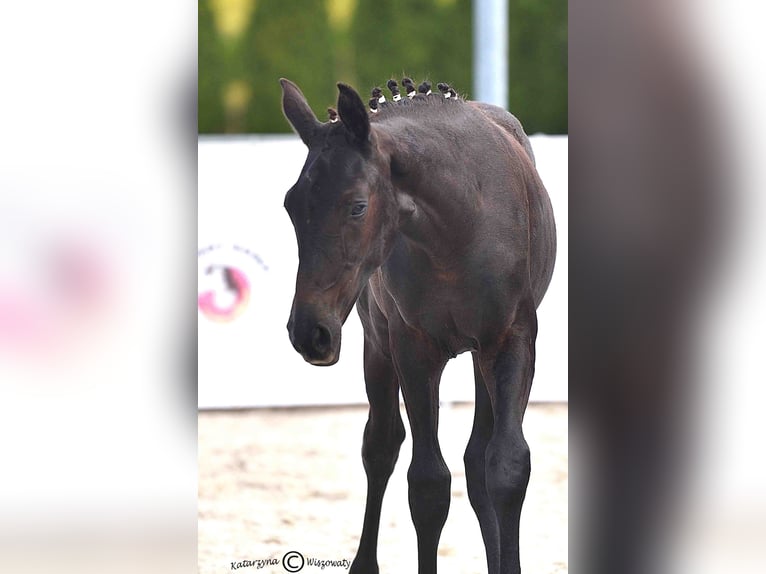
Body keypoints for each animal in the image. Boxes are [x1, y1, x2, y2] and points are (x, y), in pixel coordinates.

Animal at [279, 77, 556, 574]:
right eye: (291, 206)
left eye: (357, 206)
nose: (309, 332)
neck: (458, 229)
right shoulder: (413, 348)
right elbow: (427, 483)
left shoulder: (512, 340)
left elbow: (506, 465)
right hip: (376, 343)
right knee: (381, 445)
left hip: (480, 356)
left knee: (477, 458)